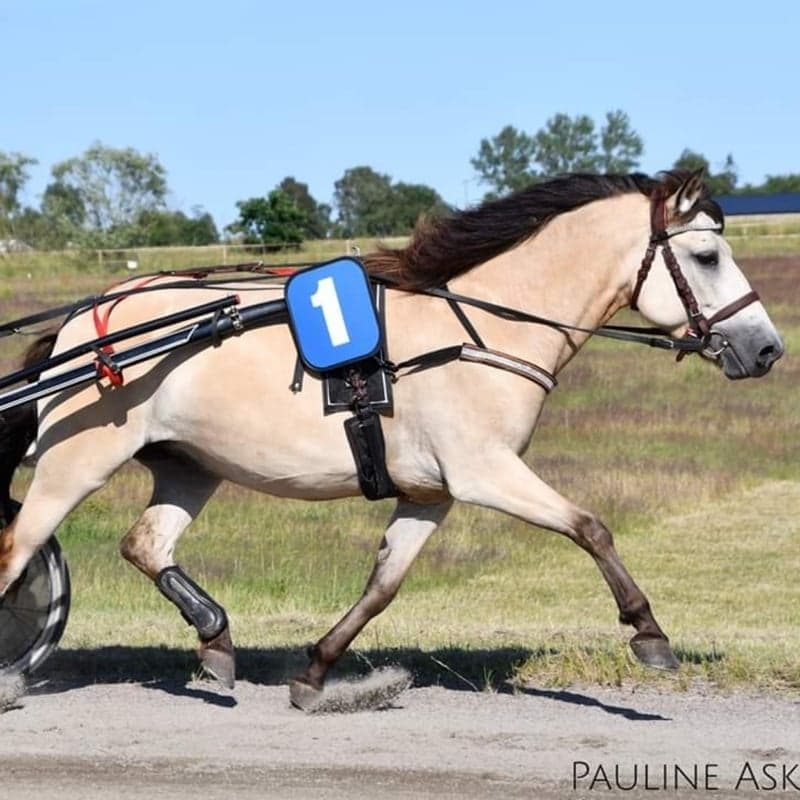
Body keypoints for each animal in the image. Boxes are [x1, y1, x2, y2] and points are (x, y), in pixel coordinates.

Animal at [0, 169, 780, 708]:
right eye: (708, 256)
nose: (767, 348)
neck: (480, 330)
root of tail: (88, 316)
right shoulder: (484, 471)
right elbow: (590, 527)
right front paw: (650, 634)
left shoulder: (431, 492)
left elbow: (383, 585)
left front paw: (315, 671)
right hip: (78, 461)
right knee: (17, 550)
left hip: (191, 465)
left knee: (145, 543)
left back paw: (216, 635)